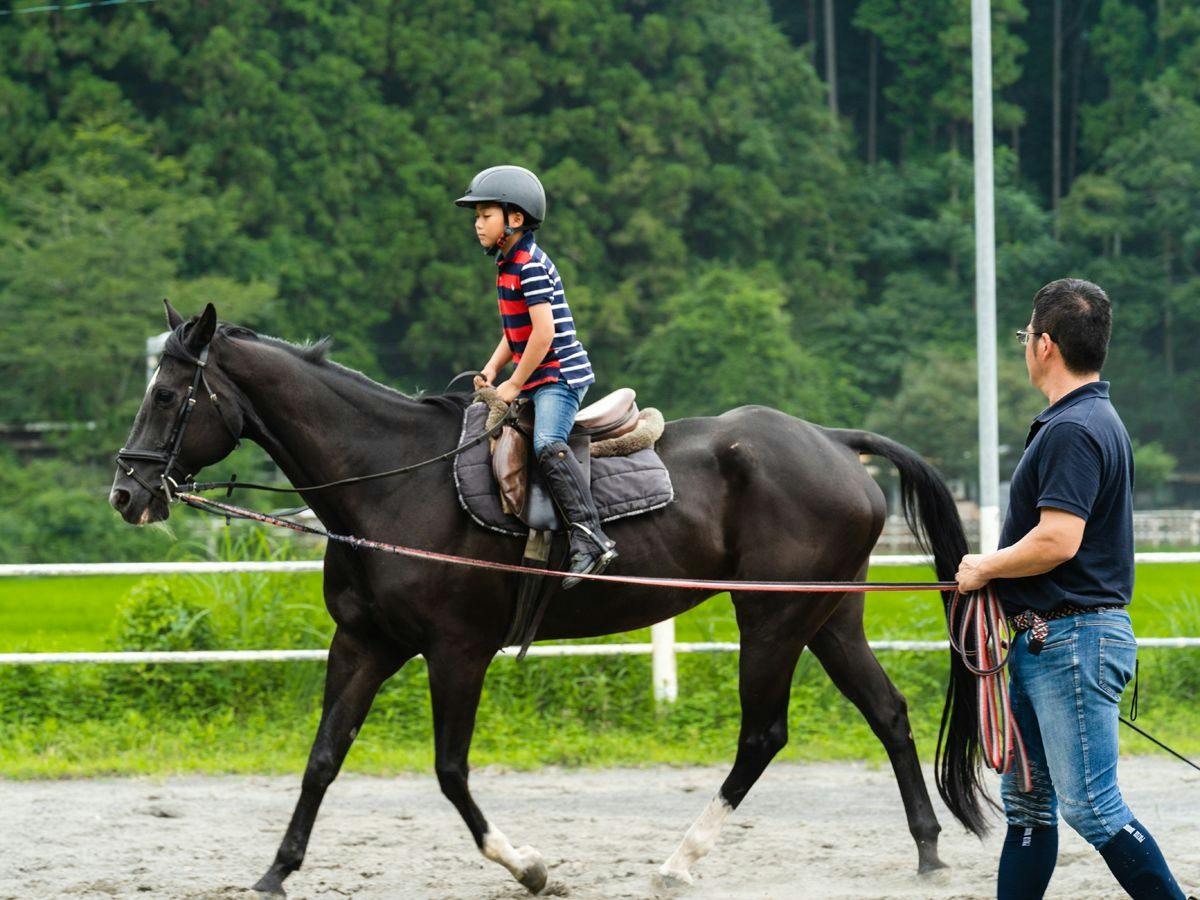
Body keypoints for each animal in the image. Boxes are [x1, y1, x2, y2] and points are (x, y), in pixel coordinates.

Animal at [110, 302, 989, 896]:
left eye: (168, 396)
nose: (126, 493)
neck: (392, 481)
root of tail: (836, 441)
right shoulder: (364, 644)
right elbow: (323, 757)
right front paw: (276, 871)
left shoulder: (456, 651)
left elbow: (450, 770)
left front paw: (528, 866)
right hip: (828, 616)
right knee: (889, 713)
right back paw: (927, 852)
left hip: (772, 617)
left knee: (763, 734)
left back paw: (680, 860)